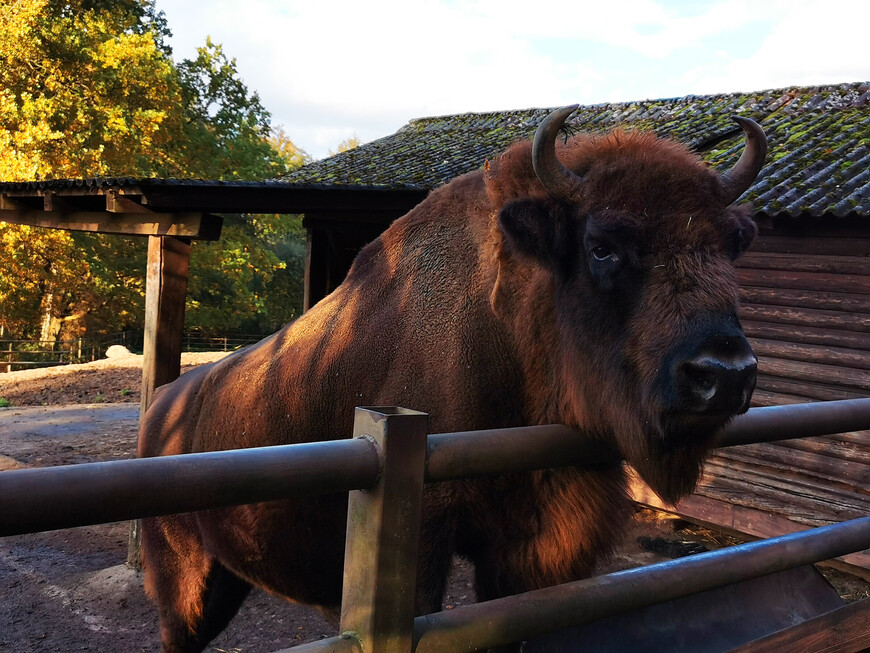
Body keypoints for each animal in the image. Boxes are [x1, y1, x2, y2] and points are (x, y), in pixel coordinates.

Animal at [140, 104, 768, 648]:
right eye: (601, 247)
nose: (724, 373)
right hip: (183, 584)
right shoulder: (424, 544)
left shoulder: (528, 548)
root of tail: (162, 405)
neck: (505, 329)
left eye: (729, 246)